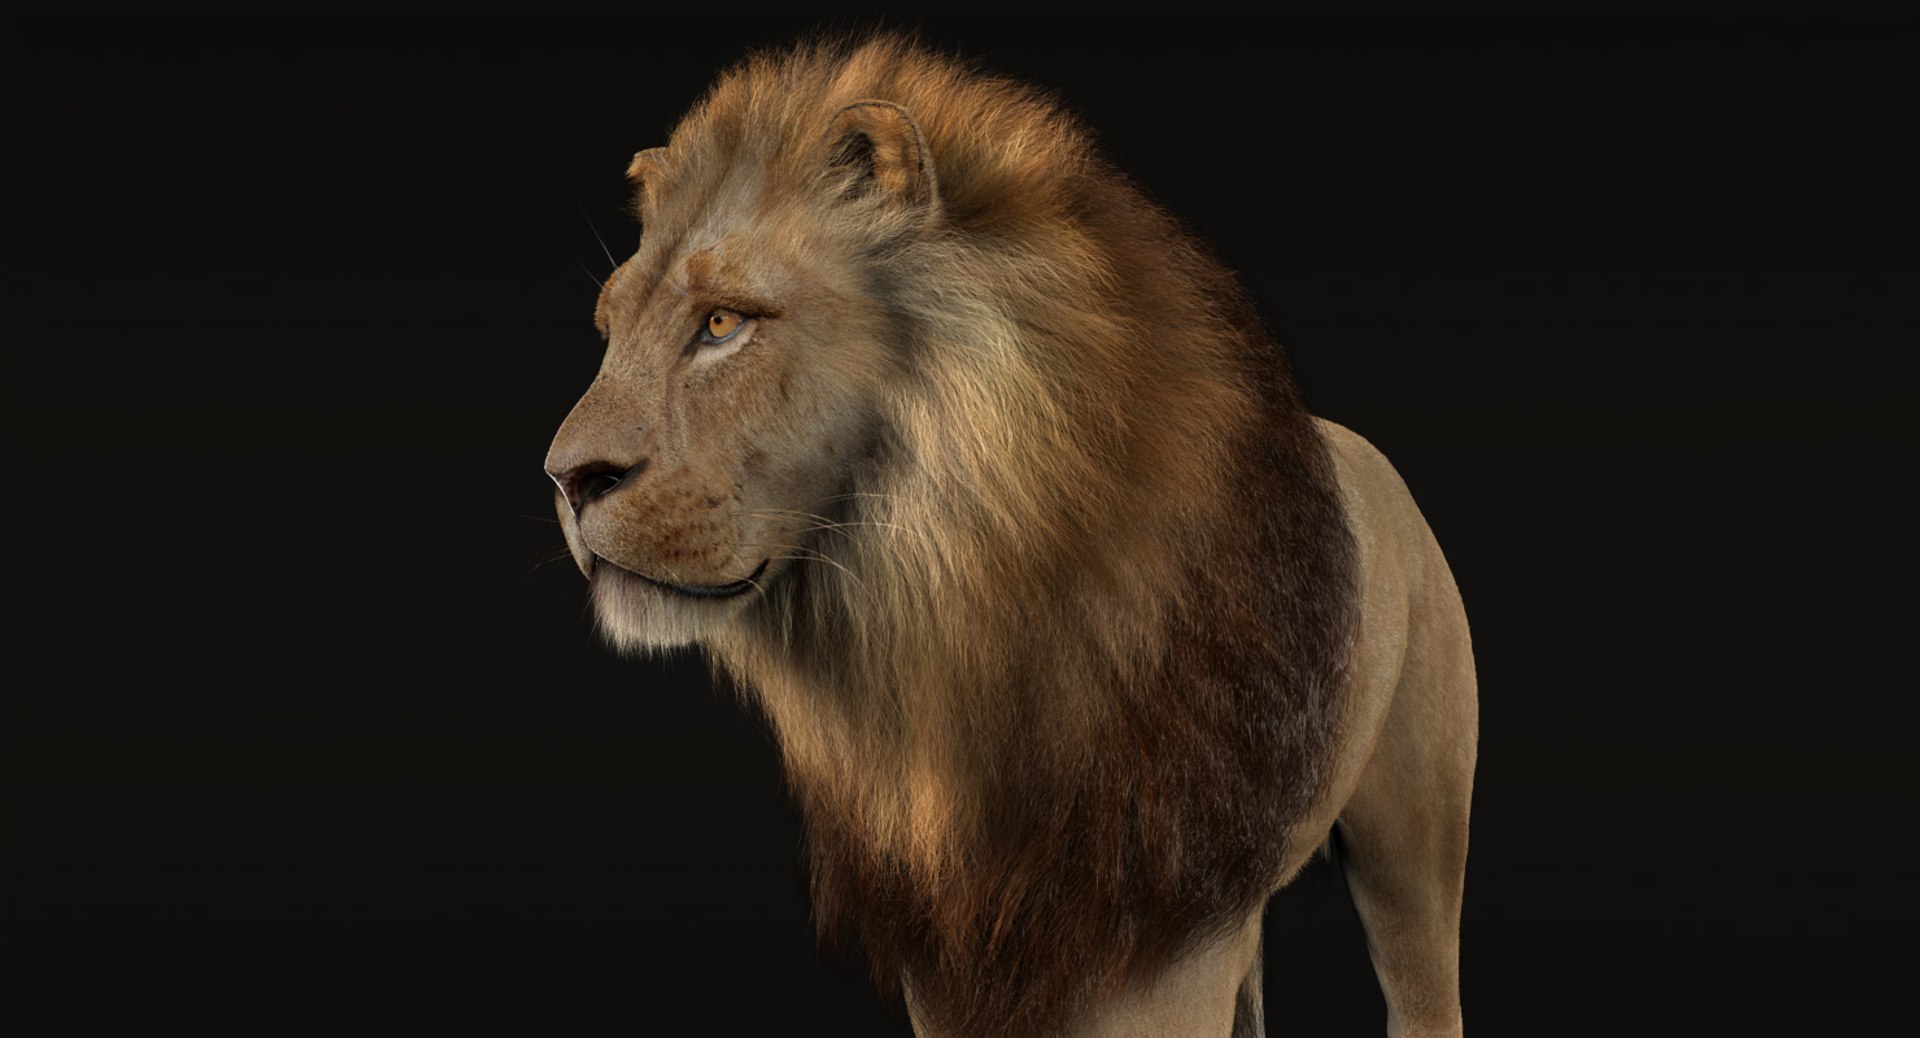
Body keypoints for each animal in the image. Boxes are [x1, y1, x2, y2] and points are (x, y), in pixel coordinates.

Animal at [544, 35, 1476, 1038]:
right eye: (610, 328)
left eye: (723, 321)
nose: (566, 478)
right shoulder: (946, 952)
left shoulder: (1166, 949)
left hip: (1413, 844)